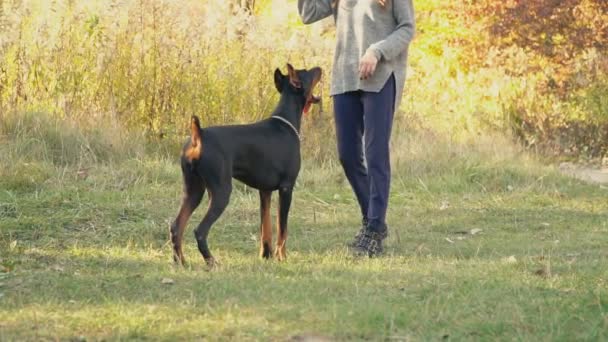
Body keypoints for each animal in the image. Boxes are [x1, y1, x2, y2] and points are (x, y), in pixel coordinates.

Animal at [171, 64, 324, 268]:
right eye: (307, 72)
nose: (320, 67)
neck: (286, 122)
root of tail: (198, 136)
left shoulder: (264, 191)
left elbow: (265, 228)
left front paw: (266, 255)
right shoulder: (286, 188)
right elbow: (282, 229)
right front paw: (281, 256)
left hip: (193, 189)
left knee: (176, 227)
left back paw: (180, 261)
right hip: (220, 192)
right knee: (200, 231)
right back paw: (211, 261)